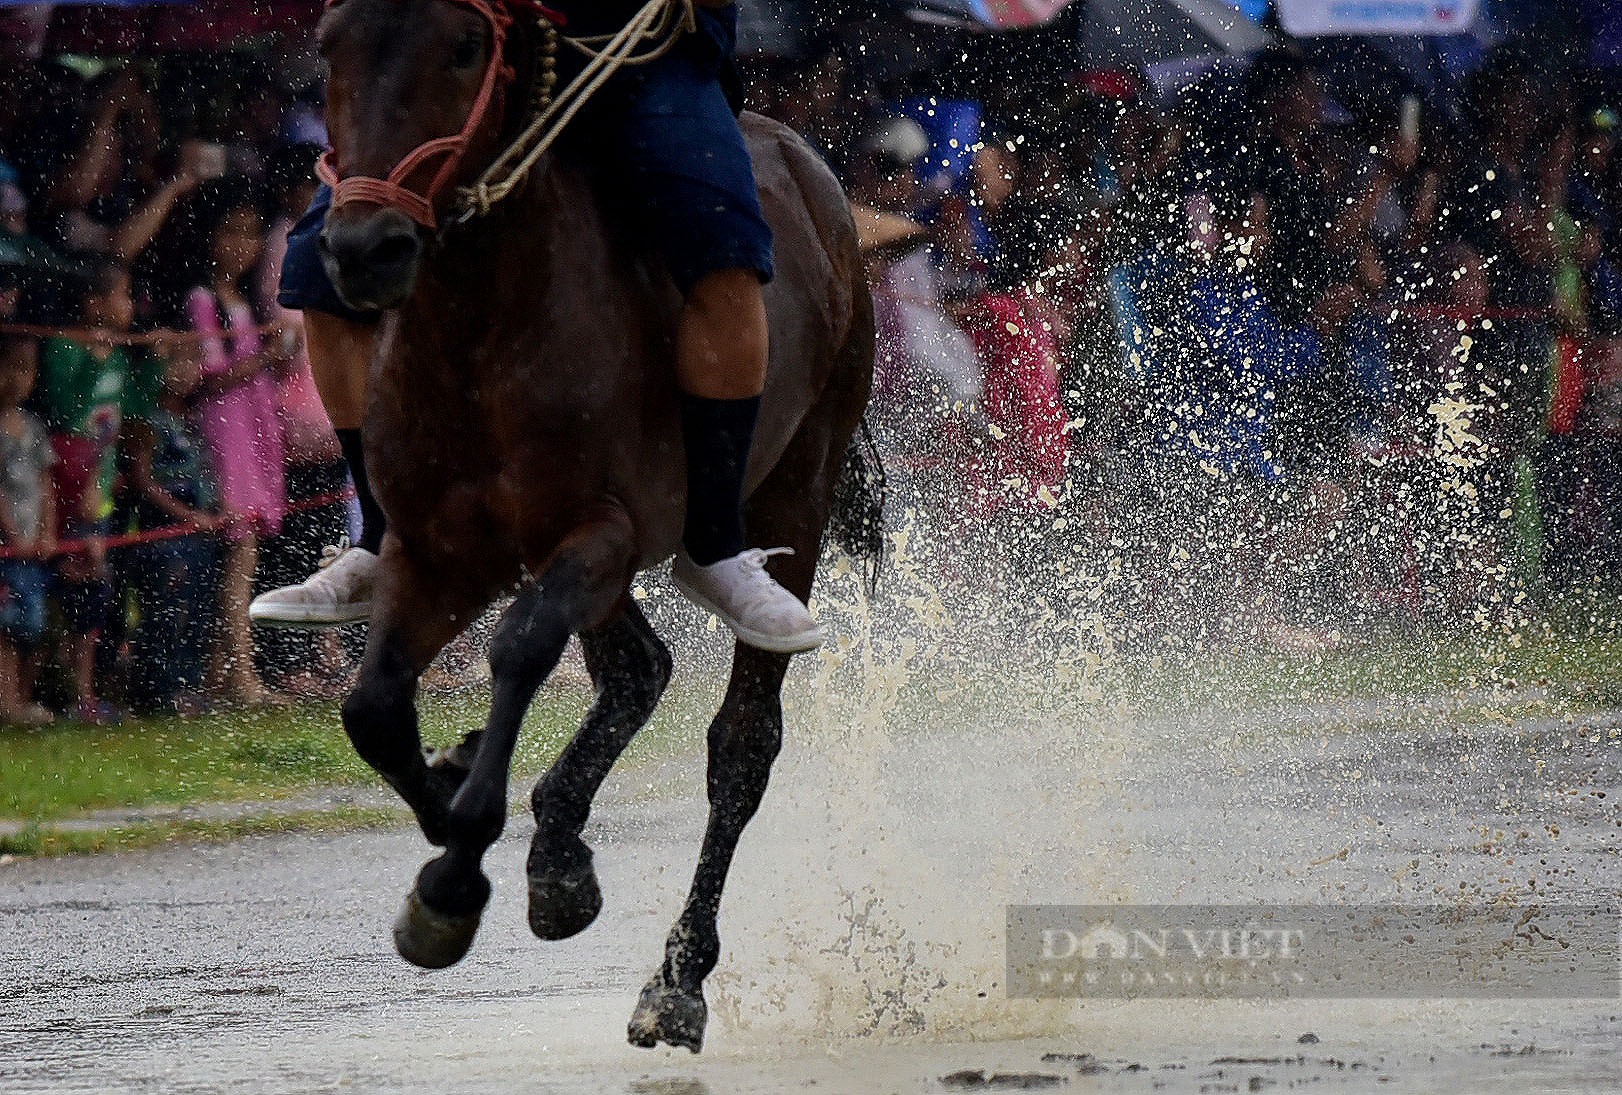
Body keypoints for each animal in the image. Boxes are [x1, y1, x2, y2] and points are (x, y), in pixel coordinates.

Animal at [311, 0, 882, 1051]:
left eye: (464, 47)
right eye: (330, 43)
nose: (364, 249)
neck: (481, 333)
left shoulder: (599, 533)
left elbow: (520, 645)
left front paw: (457, 874)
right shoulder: (433, 550)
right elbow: (372, 708)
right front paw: (464, 797)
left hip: (800, 481)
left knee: (742, 744)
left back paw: (676, 975)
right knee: (638, 669)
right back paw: (557, 844)